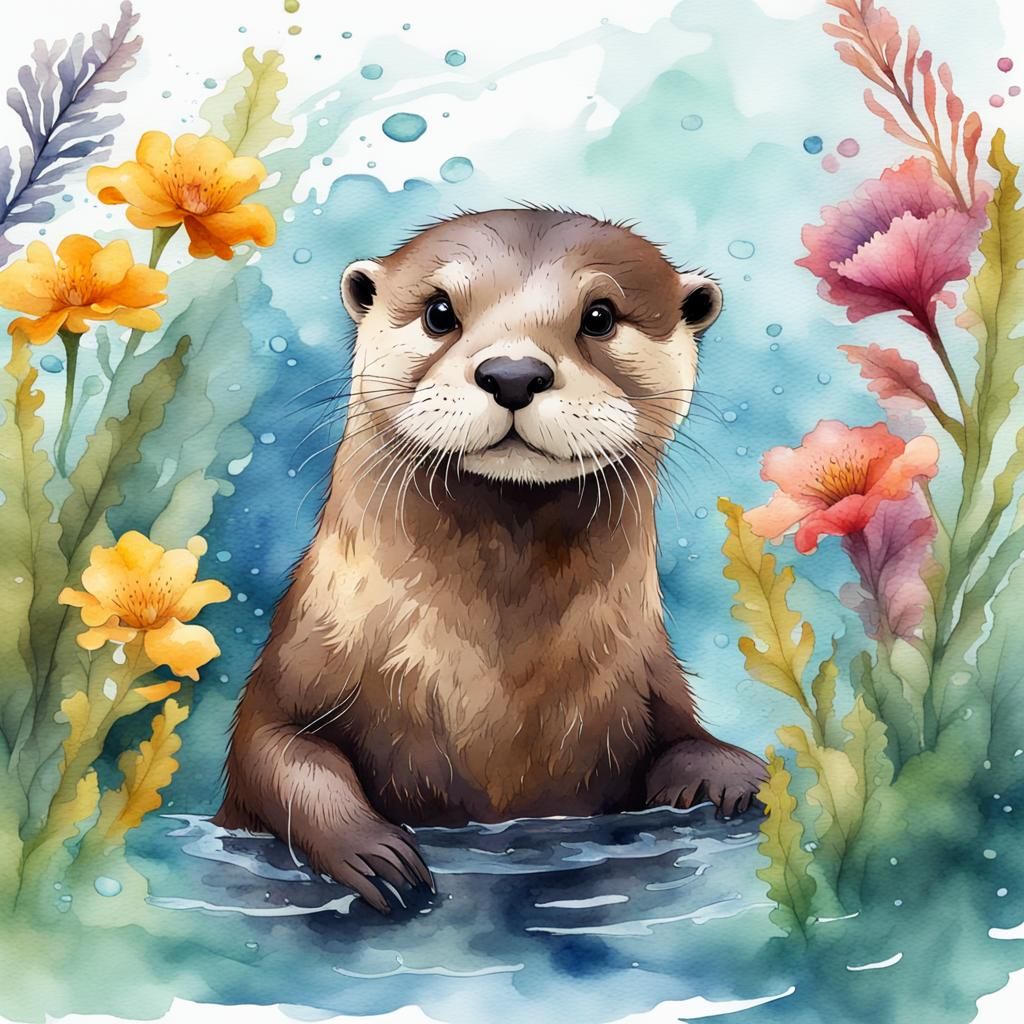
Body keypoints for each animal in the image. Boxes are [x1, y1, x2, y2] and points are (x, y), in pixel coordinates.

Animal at [214, 209, 766, 913]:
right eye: (439, 311)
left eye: (600, 316)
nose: (512, 374)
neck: (493, 685)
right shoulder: (299, 661)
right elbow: (274, 752)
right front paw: (376, 854)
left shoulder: (648, 675)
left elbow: (693, 742)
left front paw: (724, 779)